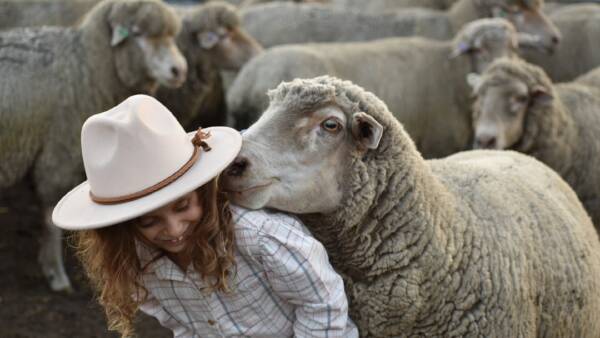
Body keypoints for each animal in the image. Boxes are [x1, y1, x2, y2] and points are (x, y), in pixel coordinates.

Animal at [0, 0, 188, 290]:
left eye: (171, 36)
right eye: (137, 33)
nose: (179, 70)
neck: (86, 66)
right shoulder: (58, 154)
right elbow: (50, 218)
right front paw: (55, 273)